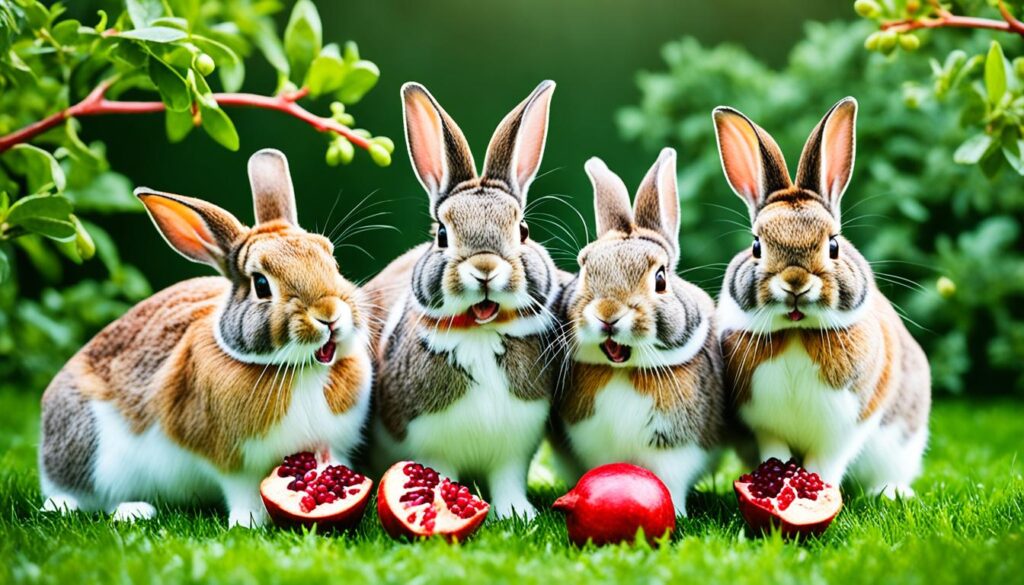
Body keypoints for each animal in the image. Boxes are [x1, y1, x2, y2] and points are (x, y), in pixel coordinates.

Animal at [40, 148, 376, 528]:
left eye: (332, 260)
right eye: (261, 284)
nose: (329, 313)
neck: (300, 369)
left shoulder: (335, 445)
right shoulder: (233, 465)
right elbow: (243, 493)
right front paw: (247, 523)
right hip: (84, 447)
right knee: (72, 495)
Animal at [364, 79, 561, 520]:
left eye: (522, 230)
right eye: (441, 235)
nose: (485, 268)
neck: (481, 330)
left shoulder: (515, 448)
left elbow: (508, 482)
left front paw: (519, 513)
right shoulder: (430, 445)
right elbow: (437, 474)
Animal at [552, 148, 729, 514]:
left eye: (660, 279)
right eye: (583, 268)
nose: (608, 314)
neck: (625, 370)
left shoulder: (675, 451)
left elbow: (671, 482)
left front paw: (677, 514)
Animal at [708, 97, 933, 499]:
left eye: (834, 246)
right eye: (756, 246)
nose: (795, 282)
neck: (797, 334)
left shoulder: (846, 427)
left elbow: (826, 462)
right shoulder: (764, 427)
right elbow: (776, 454)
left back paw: (892, 493)